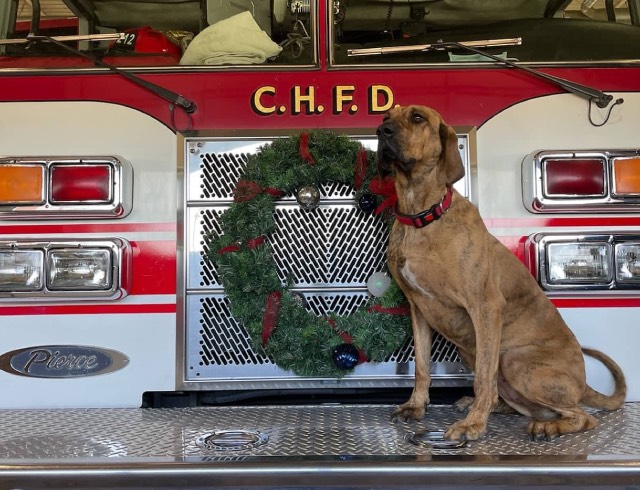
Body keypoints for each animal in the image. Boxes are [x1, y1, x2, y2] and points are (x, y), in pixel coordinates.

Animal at [378, 104, 628, 440]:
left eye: (417, 118)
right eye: (385, 117)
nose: (382, 131)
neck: (421, 216)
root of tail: (583, 384)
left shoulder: (484, 307)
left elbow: (483, 377)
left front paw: (472, 425)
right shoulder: (418, 310)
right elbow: (421, 367)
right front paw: (416, 406)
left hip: (512, 358)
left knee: (584, 417)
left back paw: (547, 426)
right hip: (471, 351)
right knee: (514, 400)